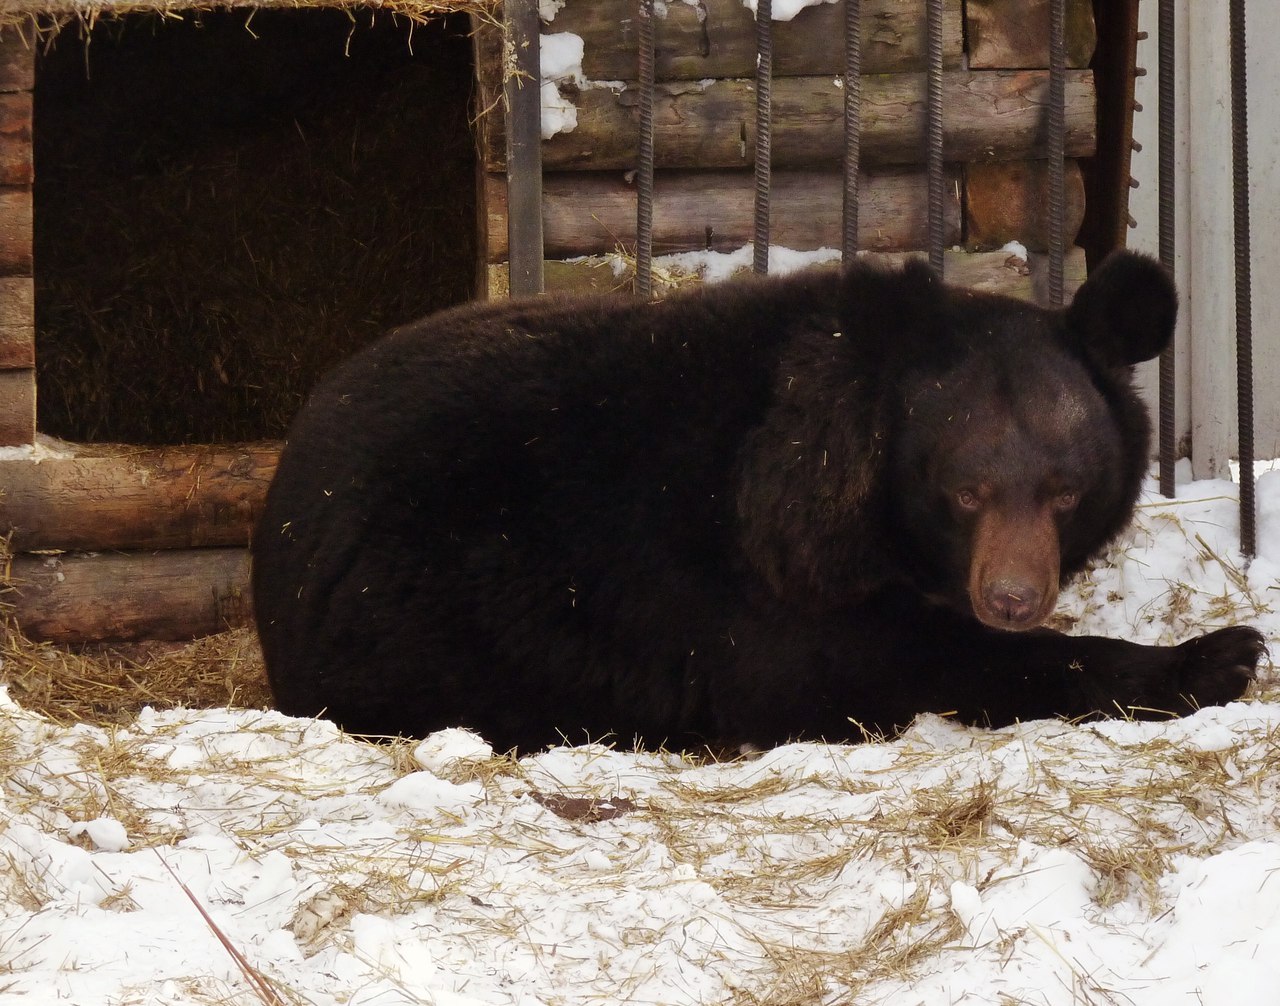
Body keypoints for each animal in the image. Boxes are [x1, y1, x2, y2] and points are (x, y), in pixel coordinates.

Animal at [249, 253, 1259, 742]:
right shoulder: (754, 579)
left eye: (1064, 490)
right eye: (966, 491)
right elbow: (888, 666)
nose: (1012, 597)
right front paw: (1218, 656)